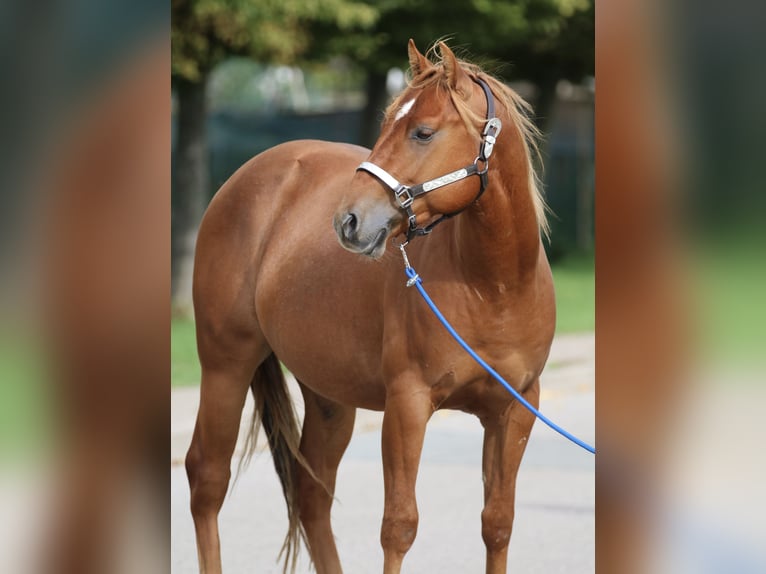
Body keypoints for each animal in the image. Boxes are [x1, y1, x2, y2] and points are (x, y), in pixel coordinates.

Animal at [185, 40, 555, 574]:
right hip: (225, 366)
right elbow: (399, 526)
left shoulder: (515, 410)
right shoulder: (407, 406)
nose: (349, 220)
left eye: (423, 132)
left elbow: (498, 523)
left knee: (312, 494)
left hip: (328, 396)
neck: (495, 287)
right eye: (385, 126)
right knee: (208, 479)